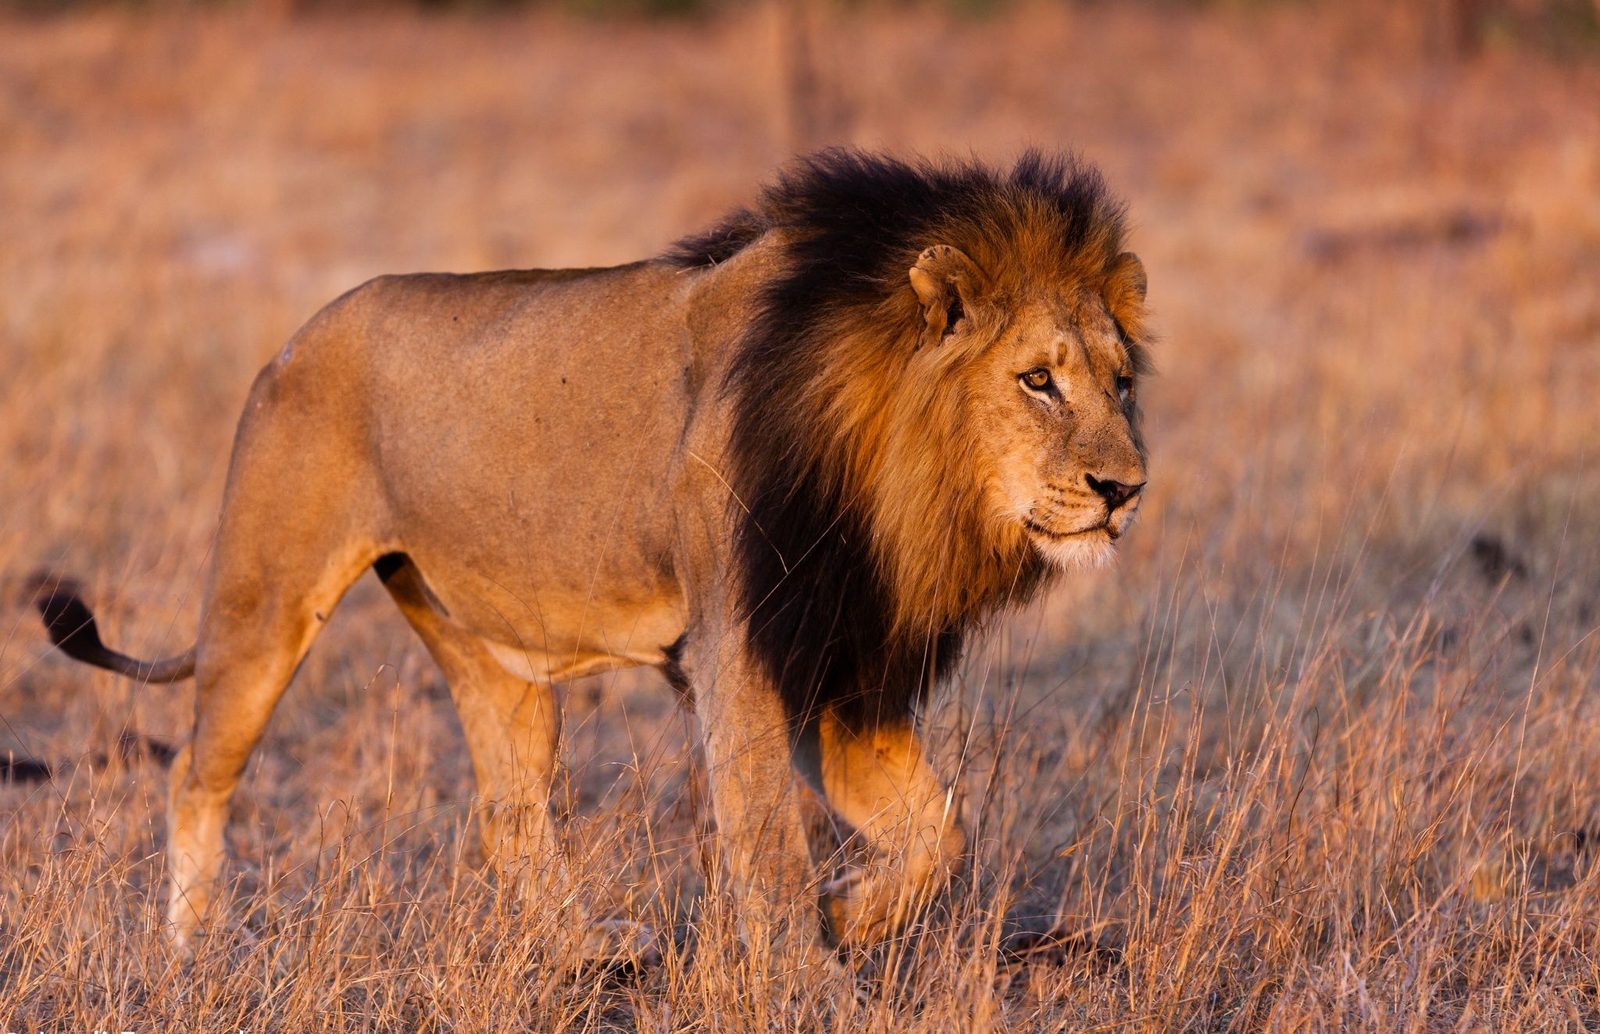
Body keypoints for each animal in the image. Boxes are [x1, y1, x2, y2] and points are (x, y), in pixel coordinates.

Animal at [32, 149, 1150, 960]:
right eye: (1037, 380)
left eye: (1121, 381)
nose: (1125, 489)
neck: (898, 481)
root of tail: (293, 339)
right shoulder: (741, 647)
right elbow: (768, 845)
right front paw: (803, 970)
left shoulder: (839, 667)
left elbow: (939, 837)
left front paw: (846, 919)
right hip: (263, 601)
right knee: (194, 777)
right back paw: (192, 948)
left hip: (488, 650)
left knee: (509, 816)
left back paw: (584, 951)